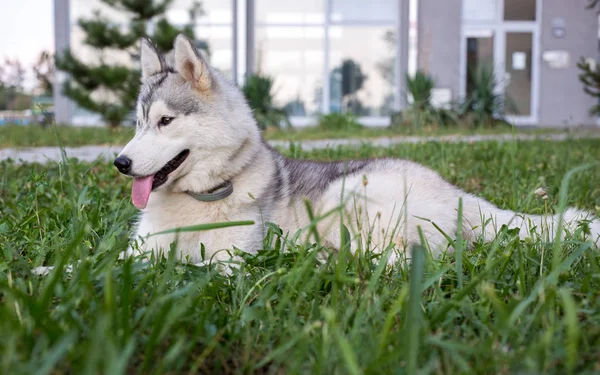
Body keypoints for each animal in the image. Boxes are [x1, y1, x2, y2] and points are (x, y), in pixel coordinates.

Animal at [113, 34, 600, 264]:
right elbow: (110, 267)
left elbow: (198, 271)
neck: (199, 198)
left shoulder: (231, 261)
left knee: (408, 258)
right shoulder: (139, 251)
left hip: (349, 196)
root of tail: (455, 191)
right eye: (138, 123)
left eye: (166, 122)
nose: (120, 162)